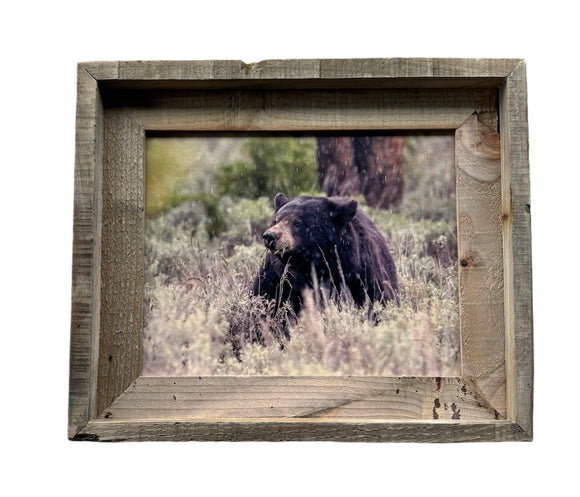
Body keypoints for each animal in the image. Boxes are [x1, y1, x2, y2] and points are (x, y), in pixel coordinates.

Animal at [254, 192, 398, 328]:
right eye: (275, 221)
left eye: (297, 223)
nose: (270, 236)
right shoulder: (278, 278)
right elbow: (267, 302)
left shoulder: (359, 274)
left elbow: (376, 300)